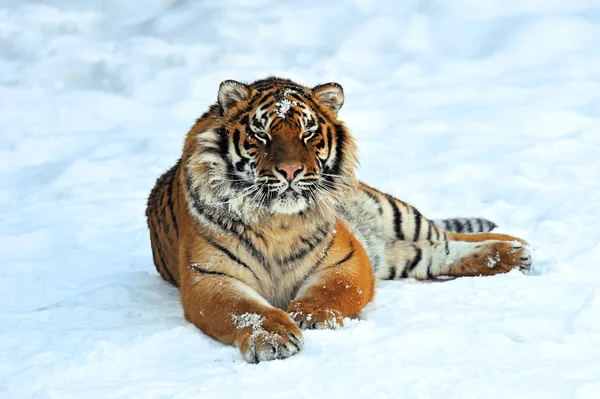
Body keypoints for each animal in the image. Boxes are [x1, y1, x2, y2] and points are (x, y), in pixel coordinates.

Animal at [148, 76, 532, 364]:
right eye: (262, 135)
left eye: (307, 133)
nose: (290, 170)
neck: (277, 223)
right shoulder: (209, 278)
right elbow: (244, 309)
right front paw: (273, 336)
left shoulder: (346, 257)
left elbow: (332, 290)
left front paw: (311, 315)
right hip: (401, 255)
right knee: (437, 254)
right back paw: (509, 255)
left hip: (393, 213)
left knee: (444, 235)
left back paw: (517, 246)